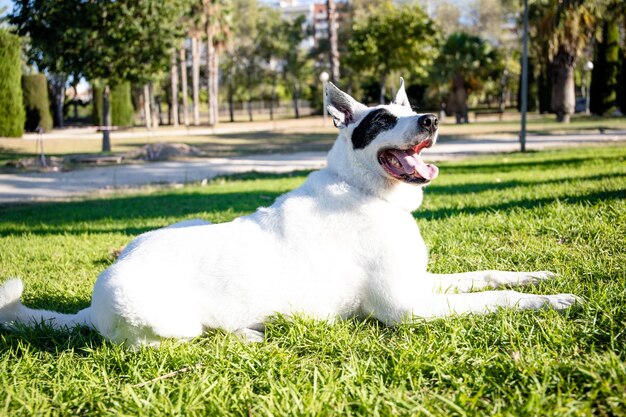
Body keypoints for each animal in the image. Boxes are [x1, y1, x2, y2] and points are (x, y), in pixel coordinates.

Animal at [0, 79, 576, 346]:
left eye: (411, 109)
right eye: (383, 119)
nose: (432, 119)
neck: (364, 190)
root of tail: (93, 301)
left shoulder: (422, 283)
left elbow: (489, 275)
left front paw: (539, 276)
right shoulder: (407, 307)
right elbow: (495, 298)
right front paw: (550, 301)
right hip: (160, 316)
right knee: (177, 342)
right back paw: (247, 335)